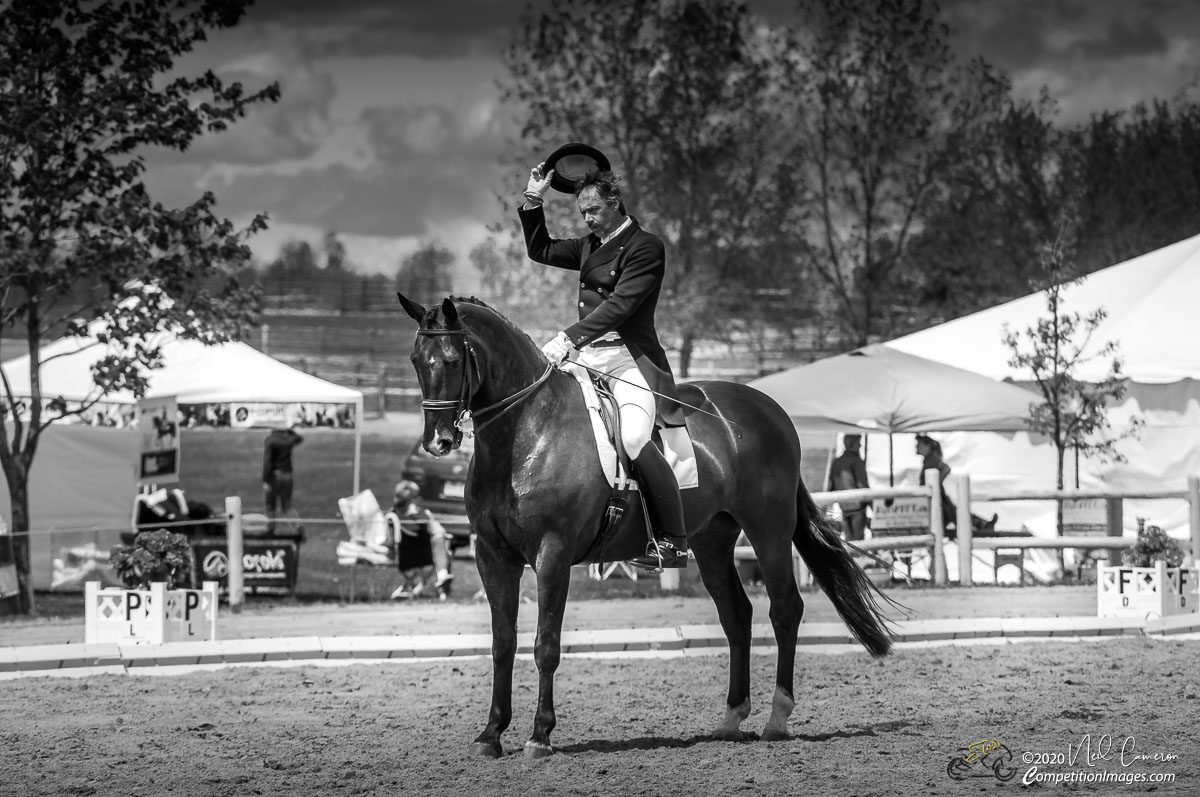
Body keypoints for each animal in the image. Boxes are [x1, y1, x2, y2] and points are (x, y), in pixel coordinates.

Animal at [396, 294, 892, 758]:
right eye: (417, 360)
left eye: (453, 360)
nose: (438, 442)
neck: (527, 431)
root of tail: (770, 409)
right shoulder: (492, 555)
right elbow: (502, 644)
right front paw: (491, 735)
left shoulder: (552, 553)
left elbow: (545, 644)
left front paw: (540, 736)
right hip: (712, 541)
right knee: (737, 615)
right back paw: (732, 719)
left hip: (768, 529)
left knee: (785, 609)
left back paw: (777, 719)